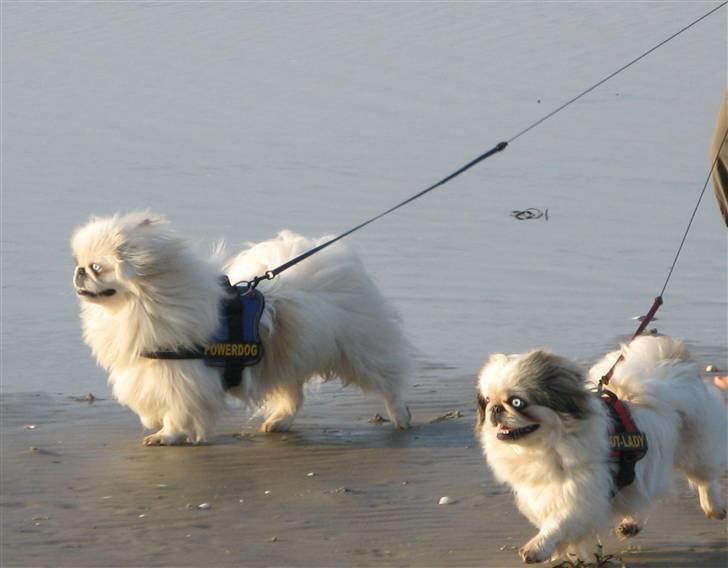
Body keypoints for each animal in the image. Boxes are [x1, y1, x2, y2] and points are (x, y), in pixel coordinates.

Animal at [72, 212, 416, 444]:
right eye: (80, 262)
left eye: (97, 268)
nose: (78, 271)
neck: (142, 303)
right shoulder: (147, 371)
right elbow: (148, 405)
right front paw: (154, 422)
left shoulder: (181, 378)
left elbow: (177, 411)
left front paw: (166, 435)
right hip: (286, 359)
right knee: (293, 396)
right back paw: (278, 422)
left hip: (360, 353)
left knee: (390, 382)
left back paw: (401, 416)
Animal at [474, 338, 724, 564]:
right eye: (487, 401)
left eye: (517, 403)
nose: (495, 408)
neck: (546, 446)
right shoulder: (546, 493)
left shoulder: (581, 495)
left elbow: (558, 523)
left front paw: (538, 548)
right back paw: (631, 524)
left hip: (696, 448)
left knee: (705, 478)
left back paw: (714, 507)